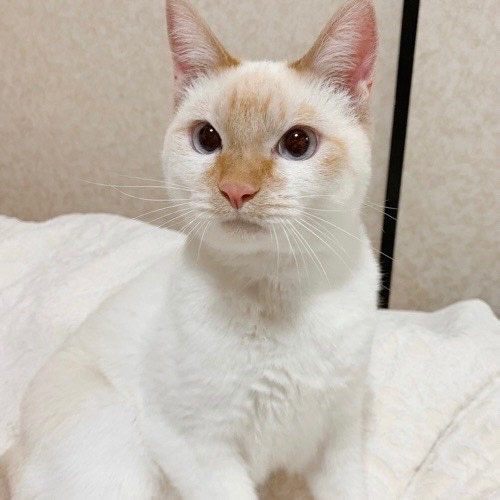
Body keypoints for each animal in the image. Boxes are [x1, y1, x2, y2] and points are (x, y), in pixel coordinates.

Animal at [4, 0, 379, 498]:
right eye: (207, 139)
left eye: (298, 143)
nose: (236, 190)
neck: (277, 291)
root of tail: (13, 453)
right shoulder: (198, 448)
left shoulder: (337, 440)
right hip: (120, 456)